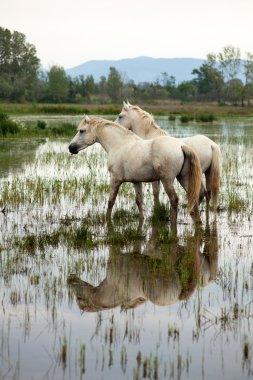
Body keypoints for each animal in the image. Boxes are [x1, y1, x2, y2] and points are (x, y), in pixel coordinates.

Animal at [69, 116, 204, 223]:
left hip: (167, 180)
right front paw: (142, 219)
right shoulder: (136, 181)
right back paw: (198, 222)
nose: (71, 148)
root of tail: (181, 146)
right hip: (183, 178)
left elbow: (111, 201)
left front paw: (107, 219)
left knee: (174, 199)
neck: (119, 144)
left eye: (82, 131)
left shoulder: (115, 179)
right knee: (194, 197)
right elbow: (139, 201)